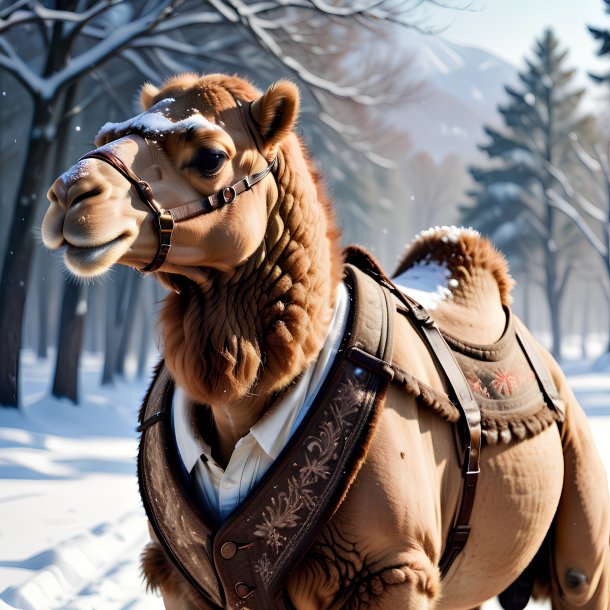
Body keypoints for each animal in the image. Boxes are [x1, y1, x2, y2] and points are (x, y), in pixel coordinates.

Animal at [40, 72, 604, 608]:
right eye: (105, 135)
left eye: (210, 155)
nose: (71, 192)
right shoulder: (179, 581)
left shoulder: (393, 571)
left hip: (580, 519)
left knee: (581, 576)